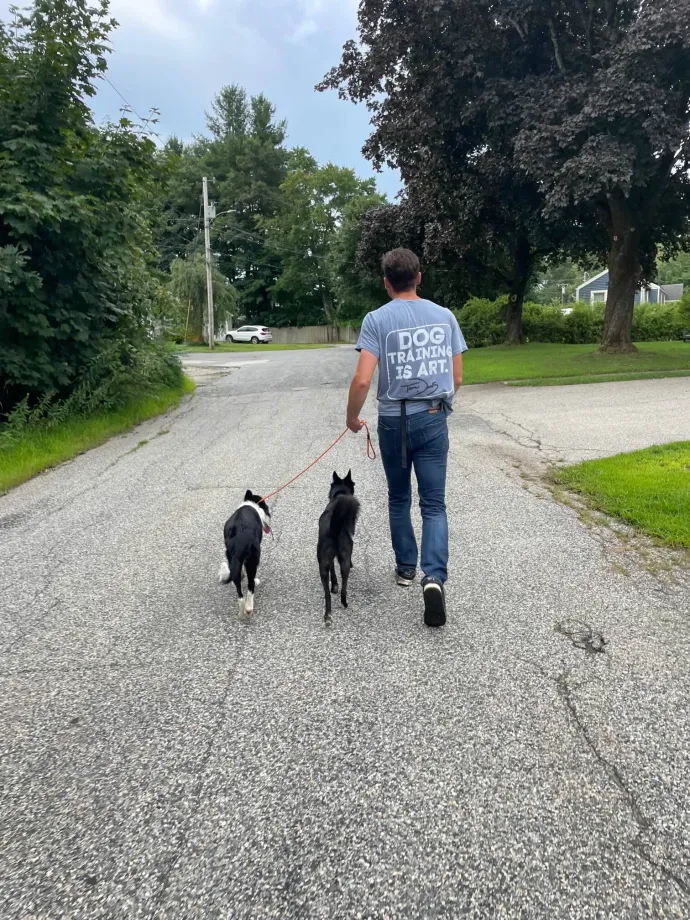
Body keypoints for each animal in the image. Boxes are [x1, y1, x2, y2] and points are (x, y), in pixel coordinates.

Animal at [318, 470, 360, 620]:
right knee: (344, 587)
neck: (340, 495)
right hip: (345, 558)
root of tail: (334, 528)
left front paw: (334, 585)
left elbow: (332, 570)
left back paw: (328, 615)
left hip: (323, 562)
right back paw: (345, 603)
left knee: (327, 594)